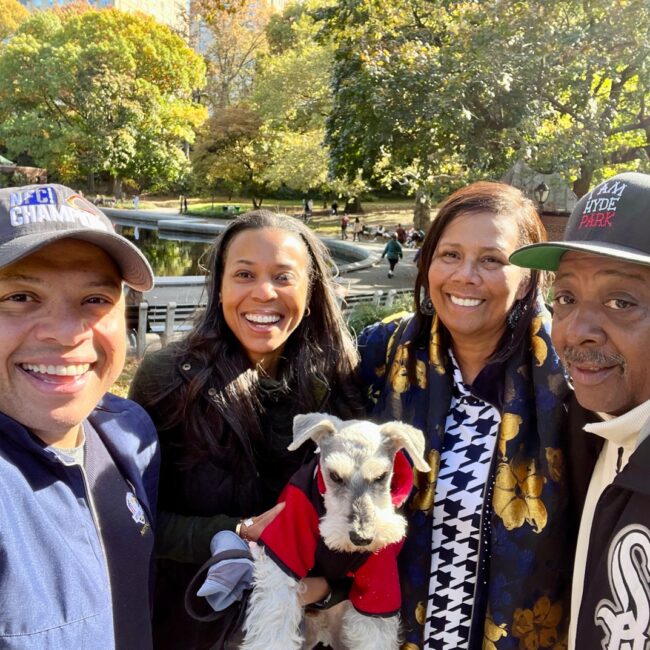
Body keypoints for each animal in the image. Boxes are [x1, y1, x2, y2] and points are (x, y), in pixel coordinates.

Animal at [240, 412, 428, 644]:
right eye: (335, 476)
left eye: (381, 476)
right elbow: (275, 620)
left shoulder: (378, 585)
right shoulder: (285, 549)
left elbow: (374, 633)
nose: (361, 538)